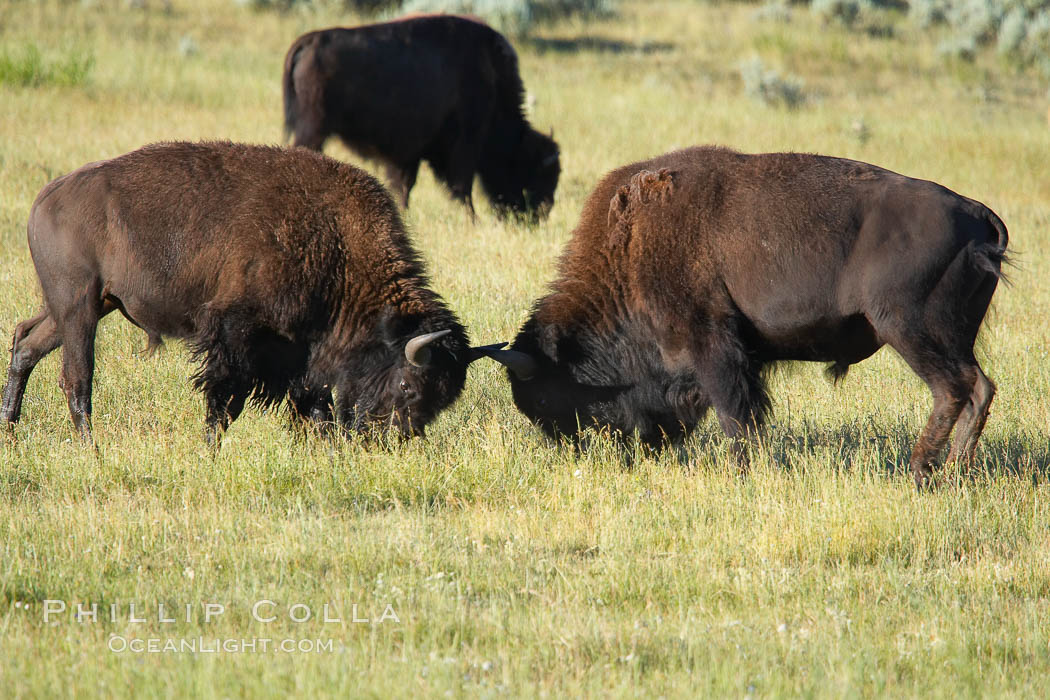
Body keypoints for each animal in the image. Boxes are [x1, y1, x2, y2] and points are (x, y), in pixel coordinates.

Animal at [1, 141, 499, 447]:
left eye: (443, 400)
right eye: (408, 386)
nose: (388, 440)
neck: (337, 242)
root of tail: (46, 198)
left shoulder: (304, 356)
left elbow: (313, 403)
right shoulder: (235, 334)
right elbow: (225, 400)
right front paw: (209, 449)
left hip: (88, 305)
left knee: (26, 341)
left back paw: (10, 427)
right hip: (79, 307)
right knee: (76, 376)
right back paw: (90, 447)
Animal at [279, 15, 558, 219]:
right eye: (535, 173)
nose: (536, 218)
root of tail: (308, 41)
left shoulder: (408, 154)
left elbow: (405, 185)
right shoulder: (464, 145)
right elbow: (461, 186)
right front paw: (471, 218)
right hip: (313, 129)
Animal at [485, 145, 1007, 491]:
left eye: (550, 396)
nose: (571, 449)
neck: (630, 248)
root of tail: (979, 215)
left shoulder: (712, 345)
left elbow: (736, 415)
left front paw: (742, 473)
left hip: (909, 330)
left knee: (953, 388)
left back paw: (921, 472)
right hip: (953, 338)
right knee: (979, 388)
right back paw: (957, 474)